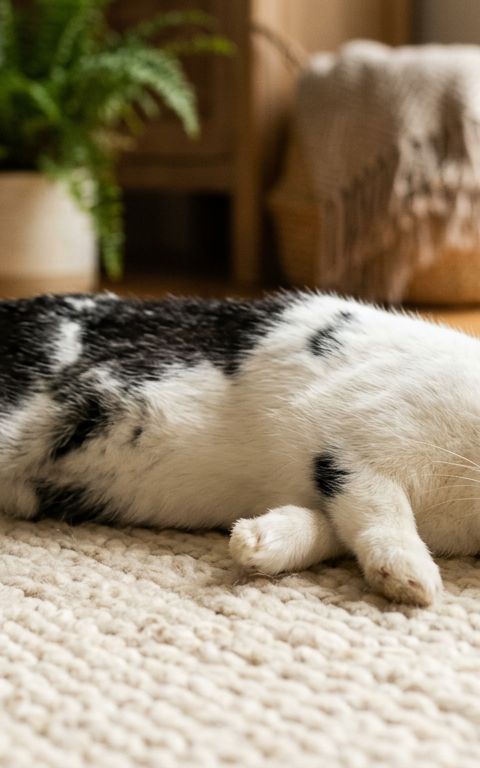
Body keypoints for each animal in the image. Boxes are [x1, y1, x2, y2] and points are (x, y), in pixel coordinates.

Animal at [1, 289, 479, 606]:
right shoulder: (357, 446)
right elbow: (382, 511)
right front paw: (413, 579)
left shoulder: (334, 491)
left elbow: (332, 528)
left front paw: (257, 542)